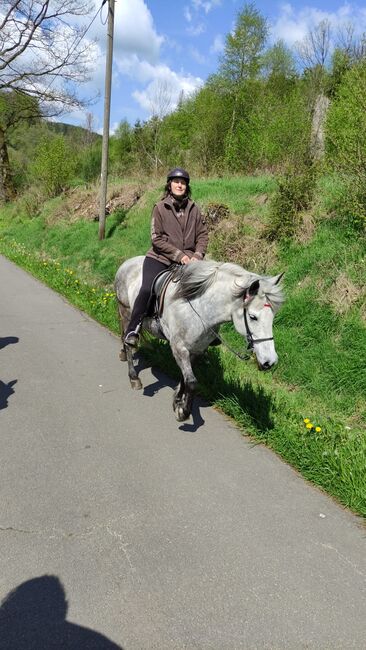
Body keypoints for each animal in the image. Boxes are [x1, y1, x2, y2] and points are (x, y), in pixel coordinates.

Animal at [114, 253, 284, 420]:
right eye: (253, 317)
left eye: (272, 317)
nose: (269, 362)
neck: (200, 309)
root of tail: (127, 262)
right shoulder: (179, 348)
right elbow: (192, 382)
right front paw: (183, 411)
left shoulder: (196, 349)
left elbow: (185, 379)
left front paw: (178, 401)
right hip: (126, 311)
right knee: (127, 340)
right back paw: (133, 377)